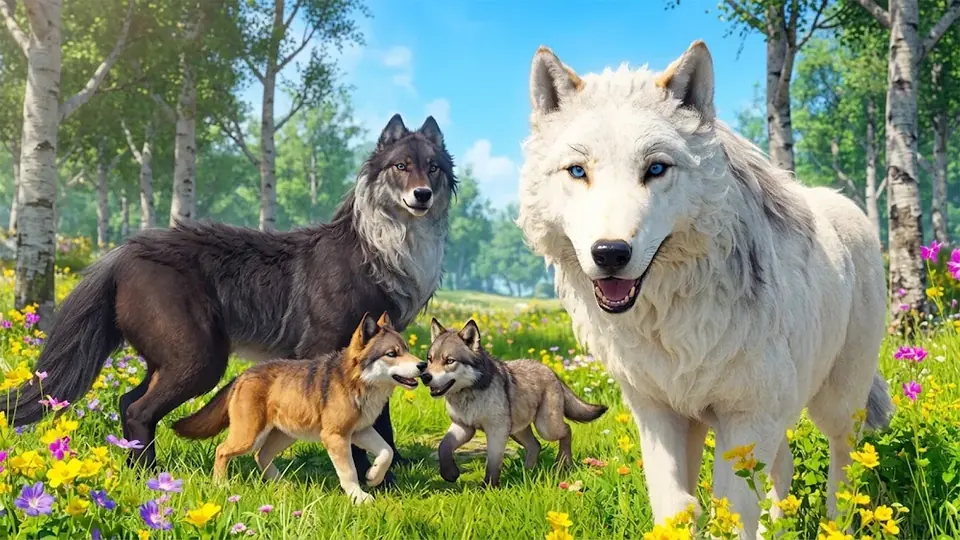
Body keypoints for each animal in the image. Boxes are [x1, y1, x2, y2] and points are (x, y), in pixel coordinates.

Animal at [172, 312, 423, 504]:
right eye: (391, 354)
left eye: (407, 349)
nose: (422, 365)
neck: (356, 382)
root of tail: (242, 376)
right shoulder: (336, 436)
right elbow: (349, 471)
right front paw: (358, 497)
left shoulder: (360, 431)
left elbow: (386, 452)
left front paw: (373, 477)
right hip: (249, 435)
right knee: (222, 450)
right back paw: (221, 485)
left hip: (286, 435)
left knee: (261, 456)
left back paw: (281, 484)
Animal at [422, 318, 607, 486]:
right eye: (430, 359)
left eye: (449, 361)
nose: (425, 376)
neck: (468, 393)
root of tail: (551, 371)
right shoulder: (463, 427)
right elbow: (443, 446)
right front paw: (450, 474)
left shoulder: (496, 431)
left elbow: (493, 463)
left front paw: (488, 487)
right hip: (517, 430)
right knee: (535, 445)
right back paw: (527, 474)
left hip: (545, 427)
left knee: (567, 430)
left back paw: (563, 464)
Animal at [515, 40, 892, 538]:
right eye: (578, 171)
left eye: (656, 168)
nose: (610, 252)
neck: (674, 320)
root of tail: (845, 203)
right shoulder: (661, 414)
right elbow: (677, 509)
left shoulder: (745, 416)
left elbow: (731, 514)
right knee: (785, 466)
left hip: (836, 403)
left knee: (843, 469)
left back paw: (837, 524)